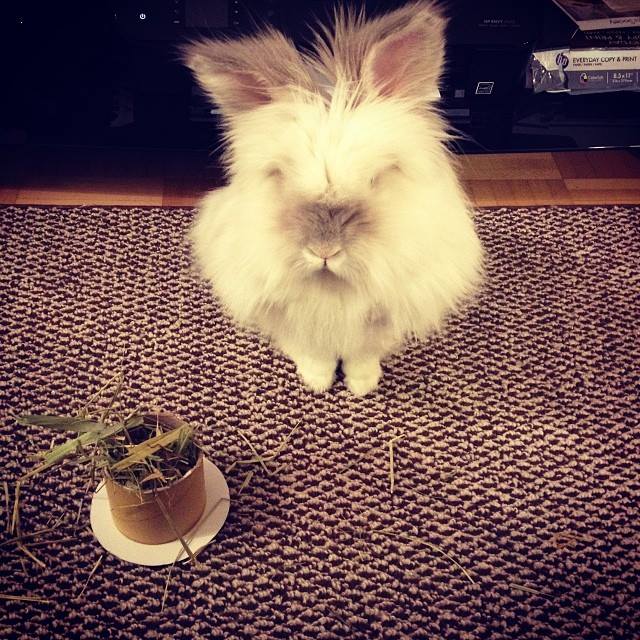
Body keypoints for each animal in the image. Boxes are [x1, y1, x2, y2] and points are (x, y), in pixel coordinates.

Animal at [182, 2, 482, 396]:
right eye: (280, 176)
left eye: (376, 179)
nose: (324, 251)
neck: (334, 289)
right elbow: (311, 350)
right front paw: (318, 381)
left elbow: (364, 352)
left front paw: (362, 384)